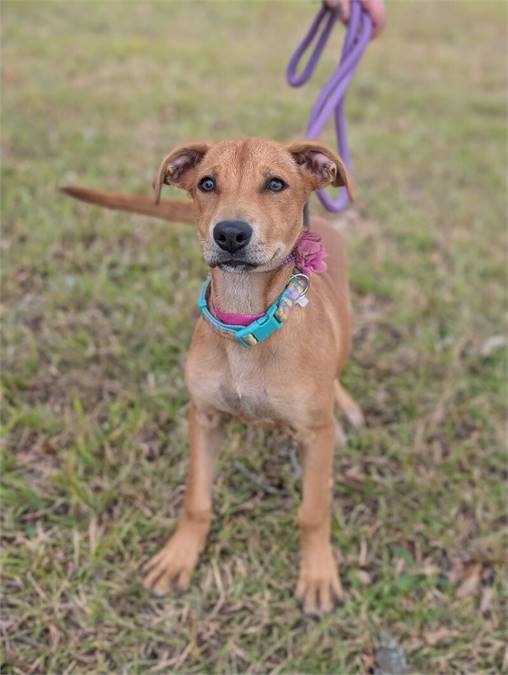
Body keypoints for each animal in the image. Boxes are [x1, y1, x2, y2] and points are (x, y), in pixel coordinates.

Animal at [63, 140, 364, 616]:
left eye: (275, 183)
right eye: (207, 183)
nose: (231, 234)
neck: (246, 325)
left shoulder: (314, 436)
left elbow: (313, 513)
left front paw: (317, 574)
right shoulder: (203, 417)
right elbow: (197, 501)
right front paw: (178, 557)